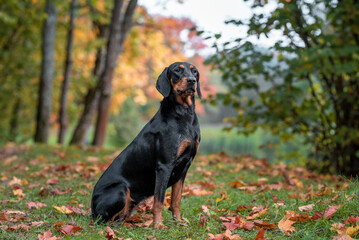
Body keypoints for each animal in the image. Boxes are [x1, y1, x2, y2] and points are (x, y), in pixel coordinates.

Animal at [91, 62, 201, 229]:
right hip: (120, 189)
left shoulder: (184, 167)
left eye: (194, 71)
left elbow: (176, 199)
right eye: (177, 70)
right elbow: (159, 200)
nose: (191, 81)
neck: (184, 114)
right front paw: (158, 225)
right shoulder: (164, 165)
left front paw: (178, 221)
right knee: (103, 220)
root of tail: (91, 208)